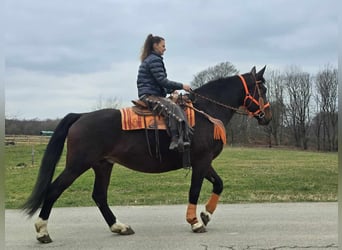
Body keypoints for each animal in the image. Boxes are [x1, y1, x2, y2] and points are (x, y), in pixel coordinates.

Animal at [22, 66, 272, 242]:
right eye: (263, 89)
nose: (267, 117)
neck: (206, 113)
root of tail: (82, 116)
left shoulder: (204, 162)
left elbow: (219, 184)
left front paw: (206, 215)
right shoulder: (201, 162)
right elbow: (194, 190)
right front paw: (195, 221)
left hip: (103, 165)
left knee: (99, 196)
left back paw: (119, 226)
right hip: (77, 165)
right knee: (54, 190)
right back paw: (42, 232)